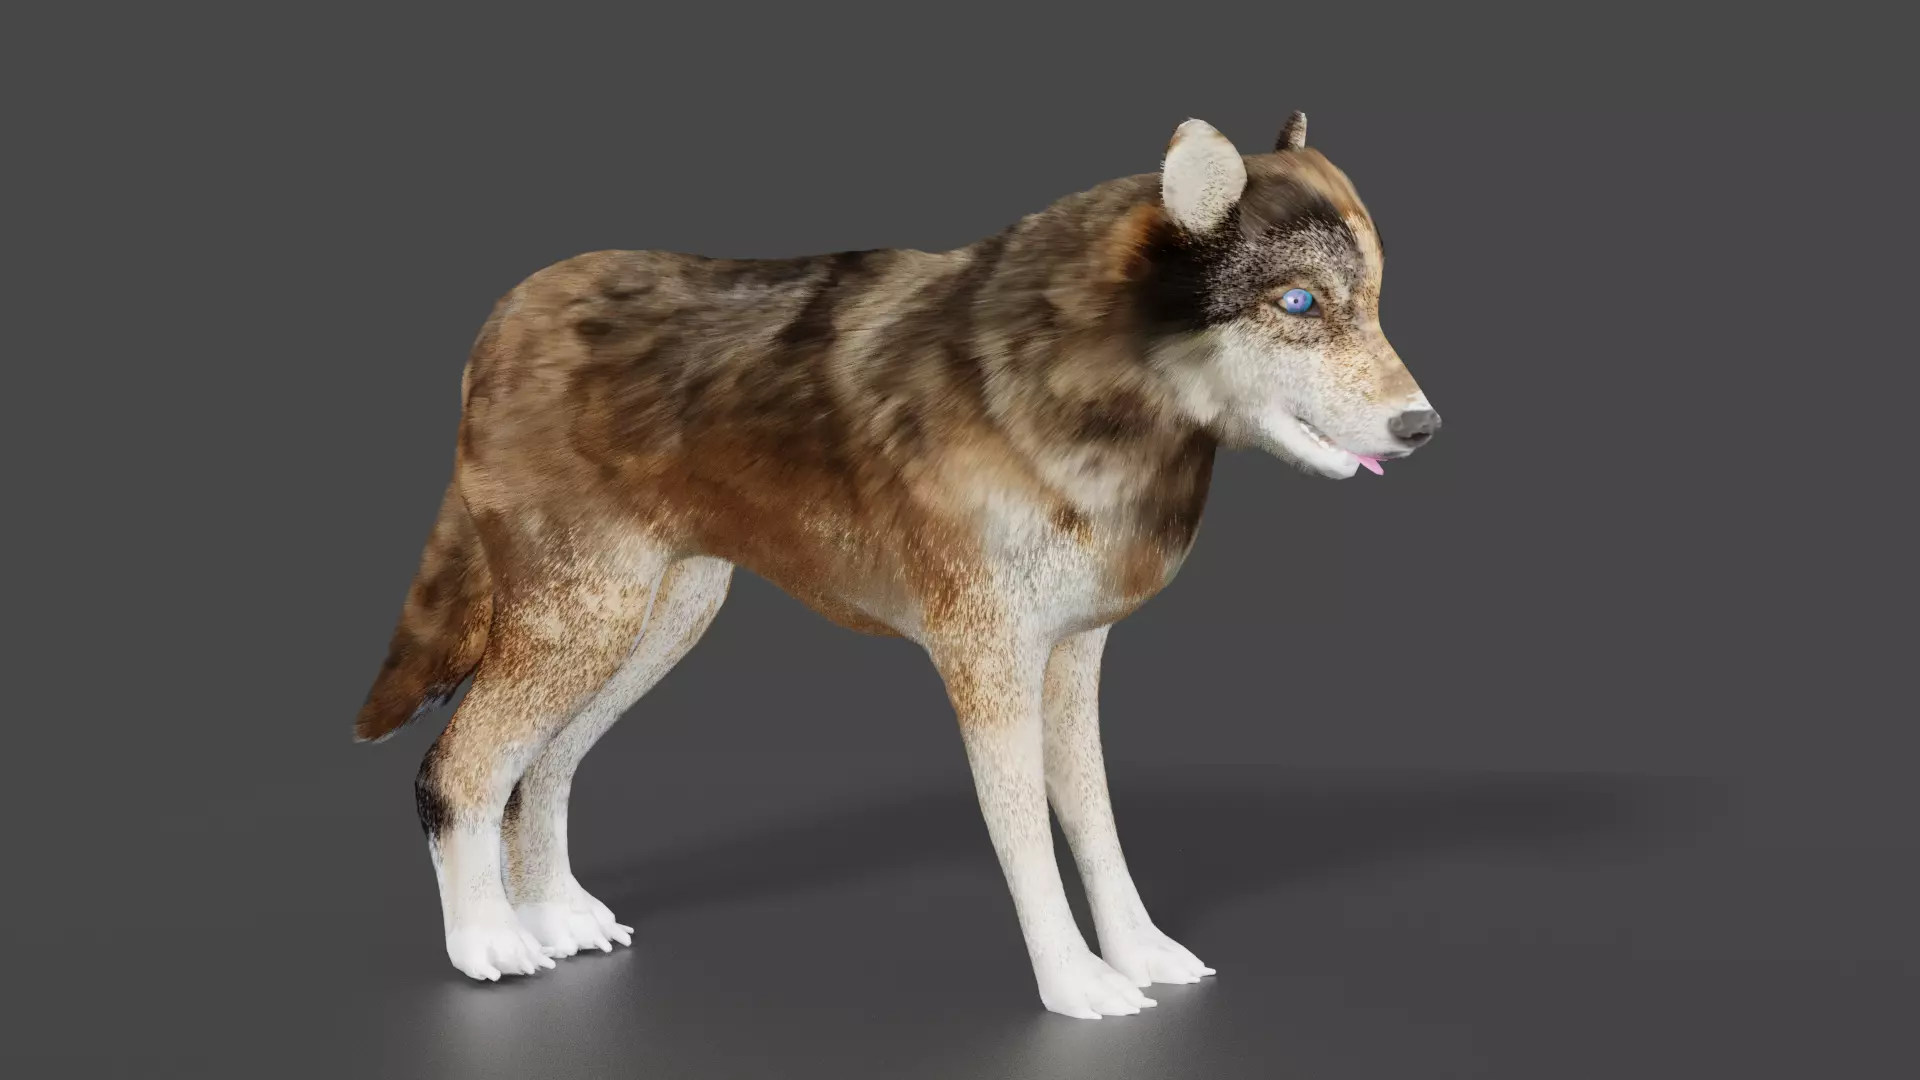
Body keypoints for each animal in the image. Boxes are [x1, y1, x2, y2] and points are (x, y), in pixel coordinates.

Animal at [356, 111, 1441, 1019]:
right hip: (586, 627)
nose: (1423, 426)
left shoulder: (1072, 660)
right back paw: (490, 942)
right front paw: (1075, 986)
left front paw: (1140, 956)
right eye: (1300, 302)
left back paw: (557, 916)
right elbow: (1027, 840)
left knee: (542, 771)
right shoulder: (987, 669)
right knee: (457, 769)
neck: (1065, 403)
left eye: (1377, 304)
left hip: (653, 630)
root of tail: (502, 316)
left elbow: (1096, 828)